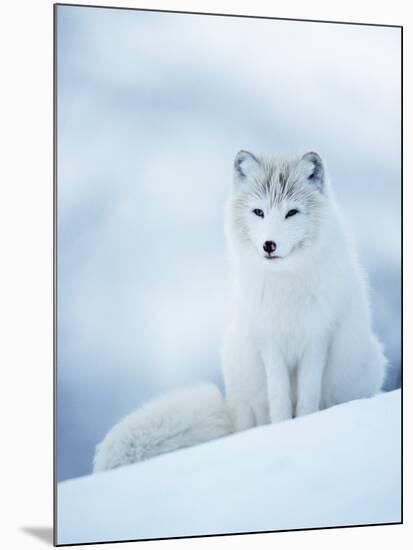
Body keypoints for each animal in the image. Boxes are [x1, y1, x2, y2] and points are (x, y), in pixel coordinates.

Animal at [91, 152, 384, 474]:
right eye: (258, 212)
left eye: (291, 213)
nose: (269, 245)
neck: (285, 284)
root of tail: (228, 409)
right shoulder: (268, 341)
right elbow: (280, 398)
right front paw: (283, 430)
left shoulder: (317, 338)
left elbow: (308, 398)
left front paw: (303, 426)